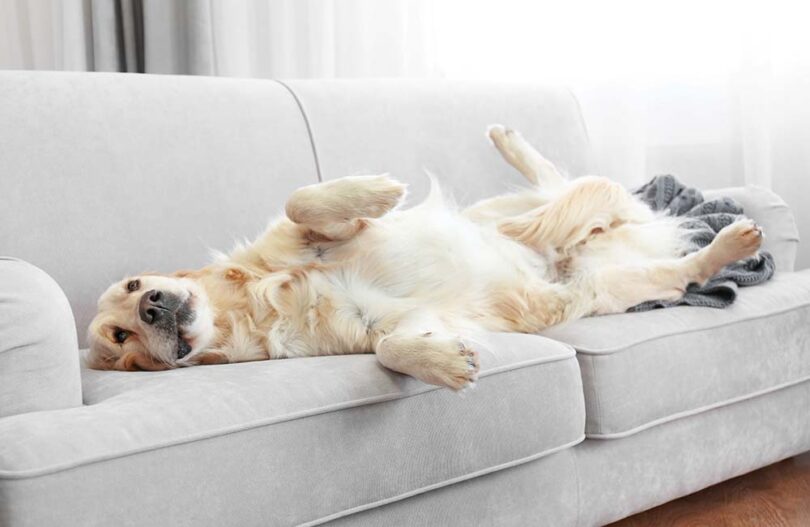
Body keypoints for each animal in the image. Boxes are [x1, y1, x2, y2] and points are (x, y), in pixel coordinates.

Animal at [87, 126, 763, 390]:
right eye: (120, 341)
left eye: (133, 285)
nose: (153, 307)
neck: (259, 304)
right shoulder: (382, 327)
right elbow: (391, 346)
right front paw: (444, 362)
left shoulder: (297, 238)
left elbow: (302, 200)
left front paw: (377, 192)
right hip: (606, 288)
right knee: (675, 269)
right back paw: (730, 243)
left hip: (516, 208)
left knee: (559, 186)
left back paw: (516, 161)